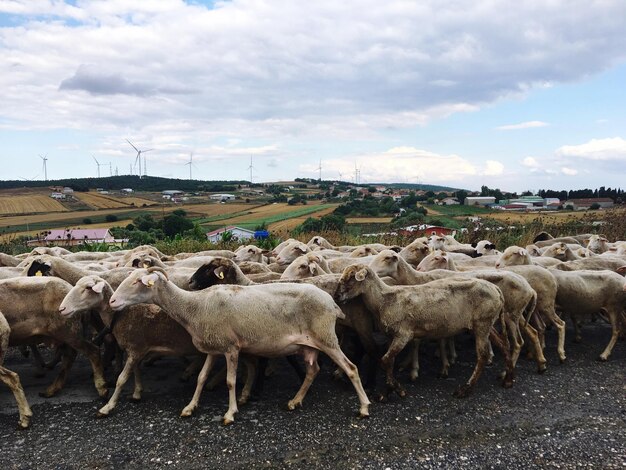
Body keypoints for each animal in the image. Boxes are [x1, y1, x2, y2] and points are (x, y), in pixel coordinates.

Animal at [109, 266, 368, 424]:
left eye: (137, 282)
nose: (112, 301)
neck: (194, 306)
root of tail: (332, 303)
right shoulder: (214, 347)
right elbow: (201, 378)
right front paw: (190, 407)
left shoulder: (230, 347)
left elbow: (231, 381)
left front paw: (230, 413)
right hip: (309, 345)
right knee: (313, 370)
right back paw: (295, 401)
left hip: (326, 338)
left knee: (351, 368)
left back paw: (364, 407)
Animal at [334, 266, 510, 398]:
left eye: (351, 278)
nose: (336, 297)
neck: (384, 299)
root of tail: (496, 289)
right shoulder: (393, 335)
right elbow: (389, 362)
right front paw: (389, 390)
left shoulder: (403, 334)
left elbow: (385, 360)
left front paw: (396, 390)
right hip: (487, 324)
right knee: (504, 345)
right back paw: (508, 378)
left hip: (482, 323)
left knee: (483, 355)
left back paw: (465, 389)